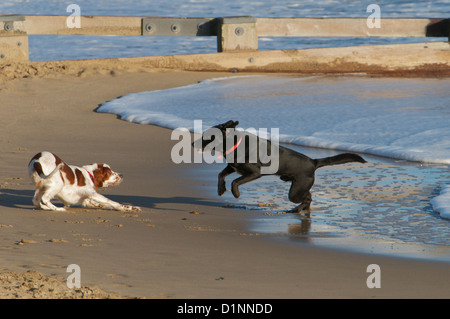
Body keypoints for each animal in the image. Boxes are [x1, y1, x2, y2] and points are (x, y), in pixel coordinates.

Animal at [193, 121, 366, 216]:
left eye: (207, 136)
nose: (193, 143)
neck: (234, 143)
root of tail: (313, 162)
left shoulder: (254, 172)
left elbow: (235, 181)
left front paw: (235, 194)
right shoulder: (233, 167)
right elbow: (220, 174)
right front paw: (221, 190)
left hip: (295, 191)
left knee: (307, 197)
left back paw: (296, 210)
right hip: (296, 186)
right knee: (309, 196)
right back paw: (300, 210)